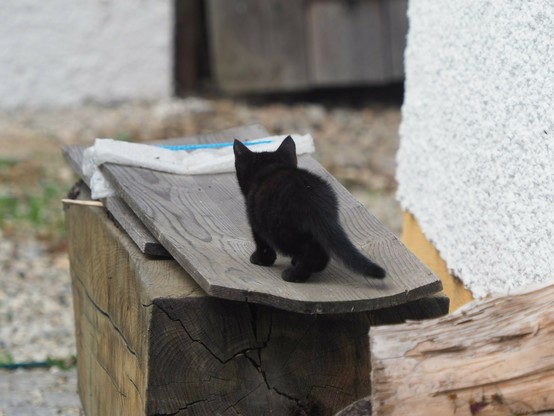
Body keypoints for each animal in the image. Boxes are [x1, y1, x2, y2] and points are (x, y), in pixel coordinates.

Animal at [232, 136, 384, 282]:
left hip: (281, 230)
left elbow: (262, 244)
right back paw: (313, 268)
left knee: (309, 251)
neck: (271, 167)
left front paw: (260, 259)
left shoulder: (256, 222)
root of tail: (313, 199)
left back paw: (294, 275)